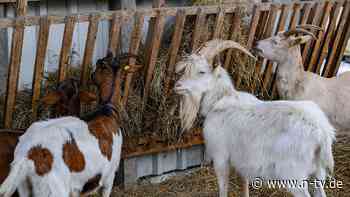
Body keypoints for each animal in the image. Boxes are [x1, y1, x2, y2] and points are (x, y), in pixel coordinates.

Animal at [0, 53, 127, 196]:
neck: (107, 110)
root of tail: (29, 154)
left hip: (24, 187)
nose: (91, 74)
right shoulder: (109, 177)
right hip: (55, 189)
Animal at [174, 39, 334, 196]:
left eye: (201, 71)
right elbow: (244, 183)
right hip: (318, 172)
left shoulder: (220, 157)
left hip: (294, 175)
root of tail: (321, 132)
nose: (177, 86)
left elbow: (223, 188)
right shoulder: (243, 160)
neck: (219, 100)